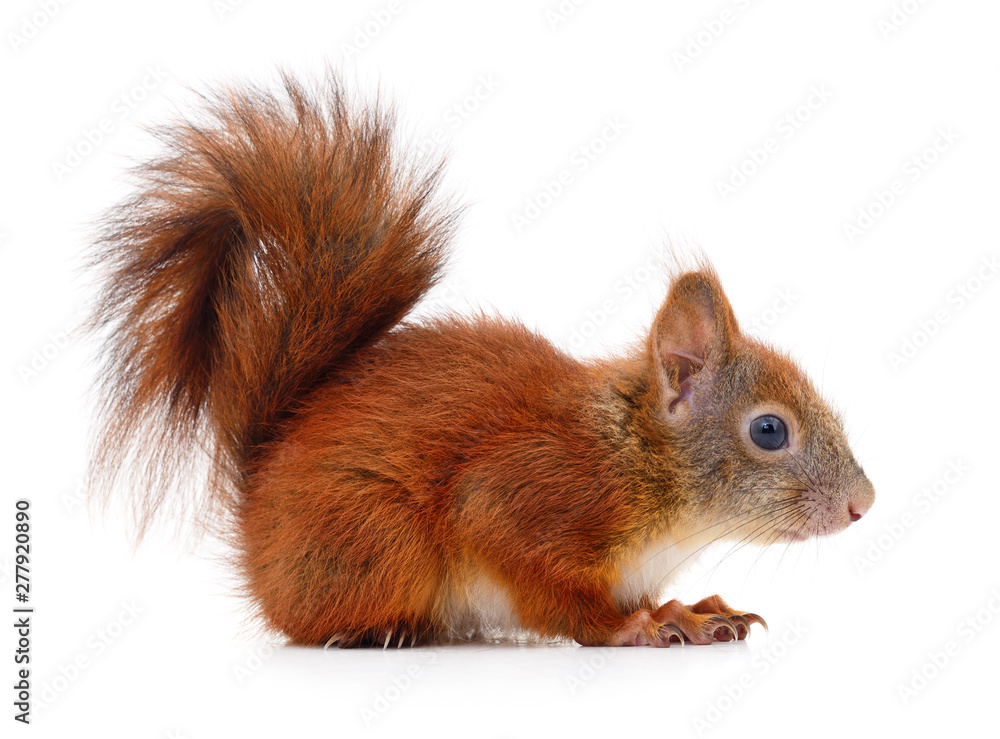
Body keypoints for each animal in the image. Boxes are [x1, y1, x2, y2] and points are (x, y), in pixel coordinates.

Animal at [88, 72, 875, 649]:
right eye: (769, 430)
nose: (862, 505)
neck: (633, 457)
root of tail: (254, 508)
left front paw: (697, 609)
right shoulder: (525, 498)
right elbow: (553, 593)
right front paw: (638, 627)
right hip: (379, 541)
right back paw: (378, 631)